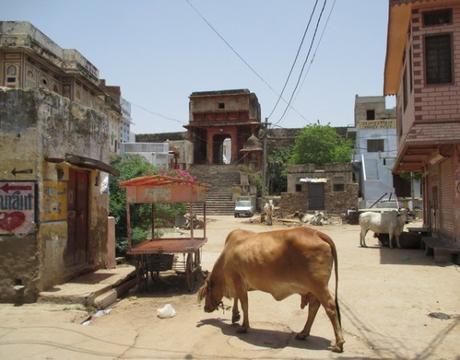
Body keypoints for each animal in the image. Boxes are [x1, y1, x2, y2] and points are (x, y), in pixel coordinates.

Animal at [198, 226, 344, 352]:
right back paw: (303, 333)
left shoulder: (238, 281)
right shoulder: (239, 285)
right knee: (314, 307)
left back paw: (339, 343)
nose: (205, 308)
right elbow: (237, 299)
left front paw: (244, 326)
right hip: (313, 290)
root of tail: (317, 233)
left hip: (319, 286)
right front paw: (235, 316)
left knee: (330, 308)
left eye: (207, 291)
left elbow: (244, 303)